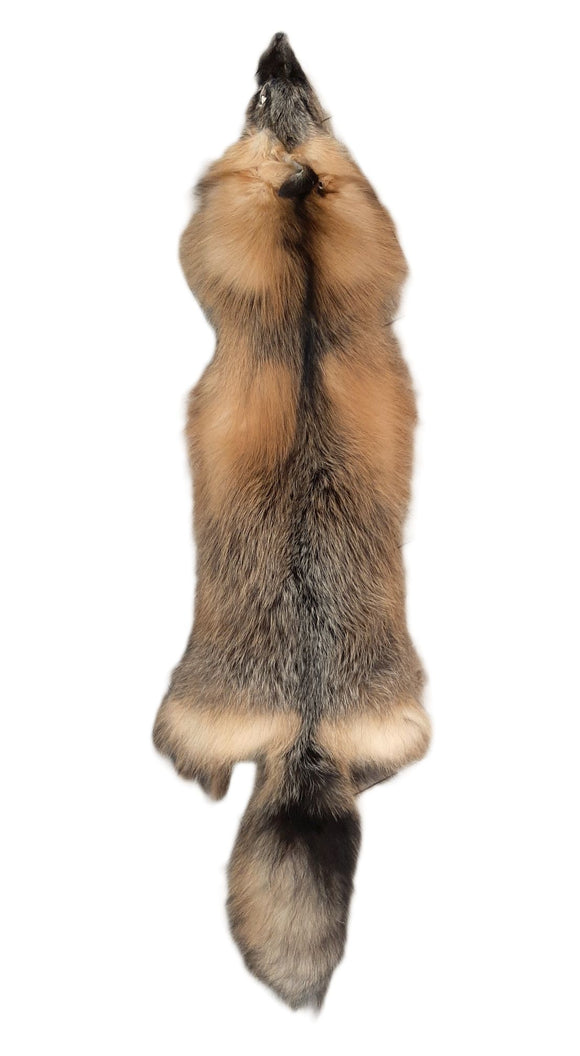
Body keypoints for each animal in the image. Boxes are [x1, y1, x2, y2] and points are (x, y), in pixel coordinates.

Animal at [153, 32, 431, 1009]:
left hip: (182, 718)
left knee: (197, 776)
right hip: (404, 727)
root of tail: (306, 726)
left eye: (273, 94)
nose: (277, 42)